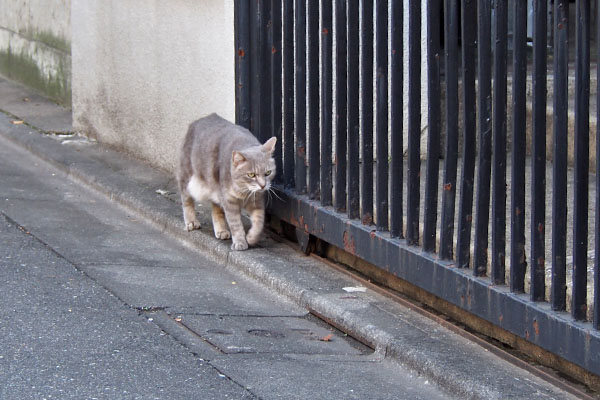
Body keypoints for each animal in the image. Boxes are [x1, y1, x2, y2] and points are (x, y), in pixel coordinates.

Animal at [175, 112, 276, 250]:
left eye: (268, 173)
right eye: (251, 175)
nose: (263, 185)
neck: (244, 191)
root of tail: (200, 120)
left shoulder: (257, 202)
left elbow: (259, 222)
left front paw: (251, 237)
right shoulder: (229, 202)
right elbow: (236, 224)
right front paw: (240, 242)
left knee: (216, 210)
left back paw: (221, 230)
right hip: (187, 177)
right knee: (187, 200)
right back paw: (191, 222)